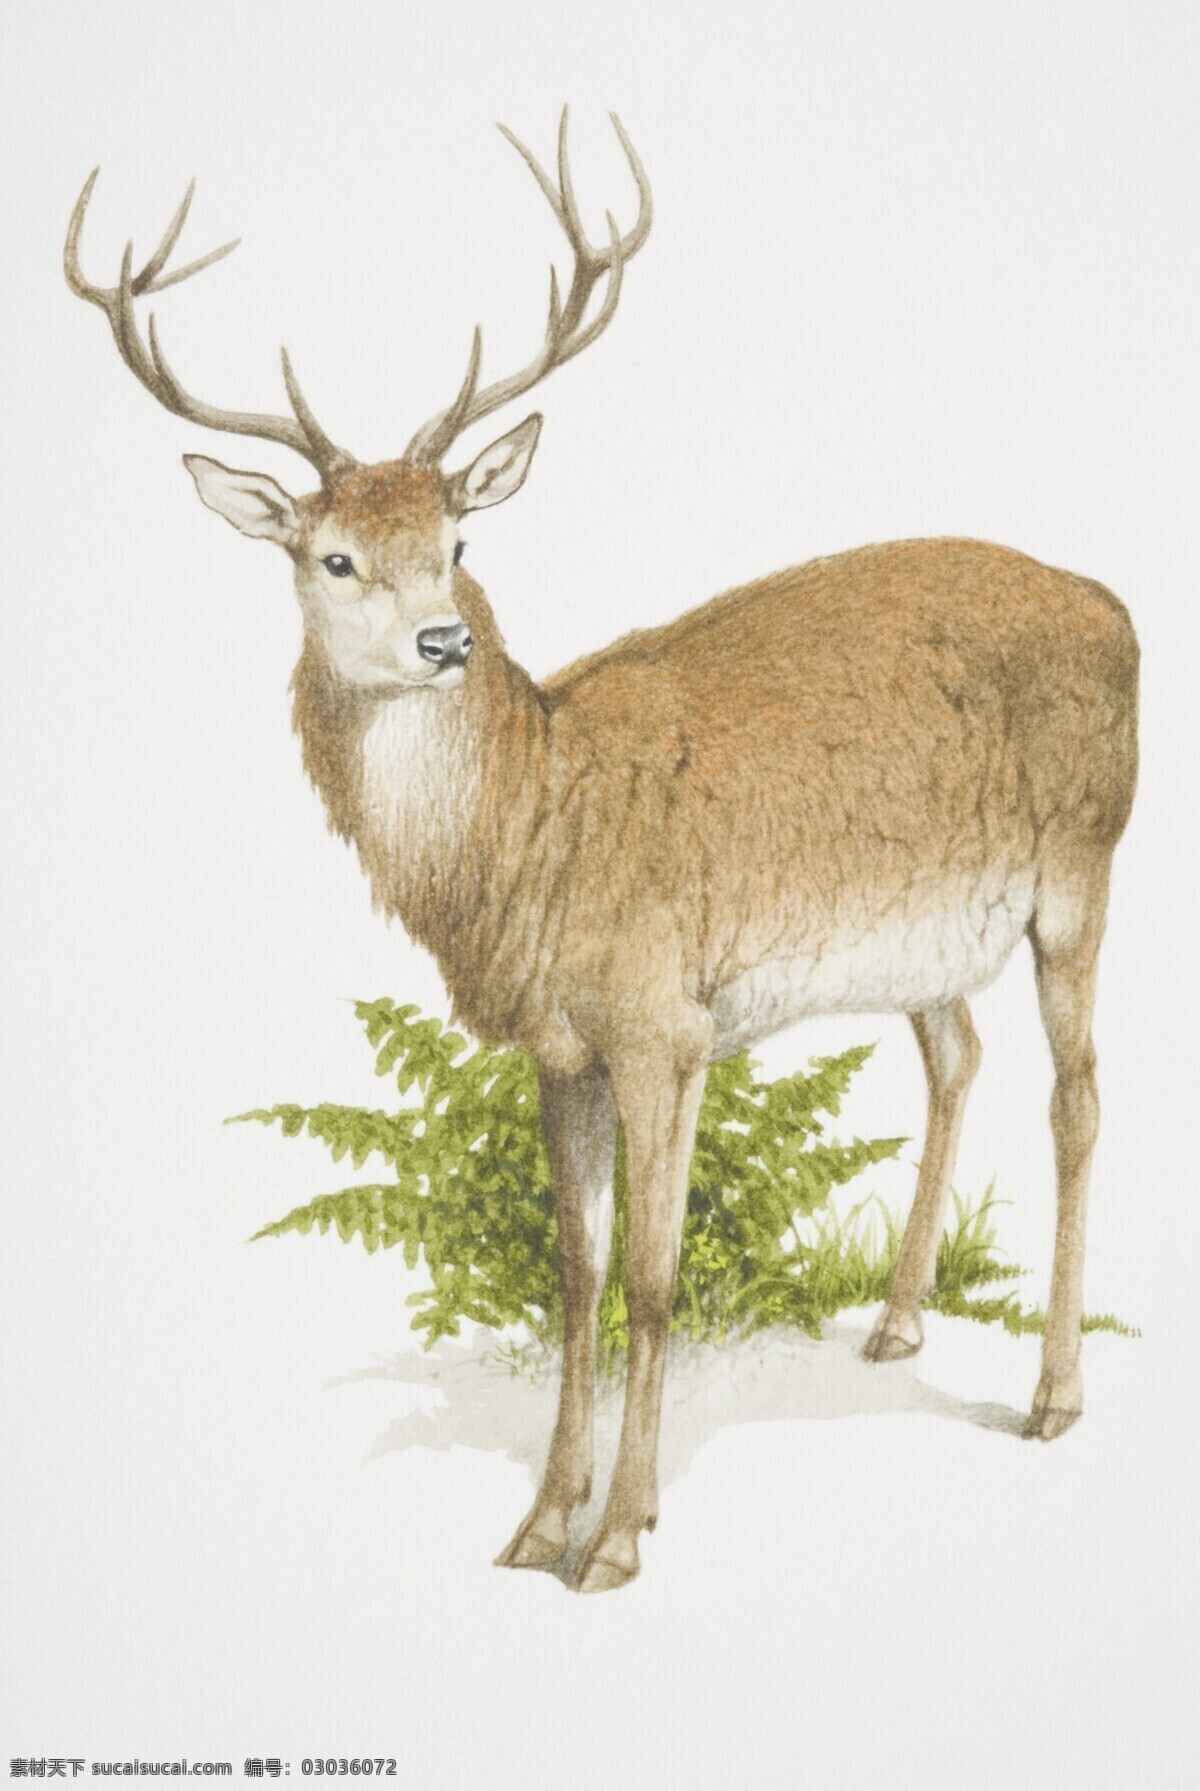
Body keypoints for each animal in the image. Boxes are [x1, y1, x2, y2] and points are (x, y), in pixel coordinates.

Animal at [65, 111, 1139, 1594]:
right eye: (332, 556)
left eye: (458, 538)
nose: (444, 638)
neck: (535, 843)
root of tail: (1120, 609)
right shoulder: (558, 1042)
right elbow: (573, 1271)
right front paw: (534, 1523)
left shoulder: (662, 1018)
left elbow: (651, 1274)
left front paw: (621, 1535)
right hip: (931, 938)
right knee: (960, 1055)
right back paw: (896, 1324)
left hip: (1084, 865)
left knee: (1079, 1095)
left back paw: (1053, 1393)